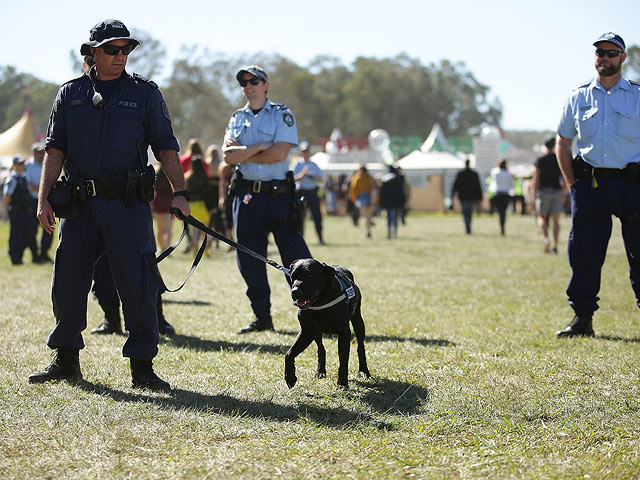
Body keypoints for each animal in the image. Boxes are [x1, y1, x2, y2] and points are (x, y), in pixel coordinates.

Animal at [284, 256, 370, 388]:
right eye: (293, 275)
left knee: (360, 347)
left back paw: (364, 371)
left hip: (358, 321)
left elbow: (343, 360)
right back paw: (320, 371)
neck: (320, 302)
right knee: (321, 349)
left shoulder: (344, 333)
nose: (295, 291)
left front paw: (342, 383)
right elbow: (289, 354)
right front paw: (290, 377)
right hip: (316, 333)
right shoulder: (307, 332)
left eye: (310, 275)